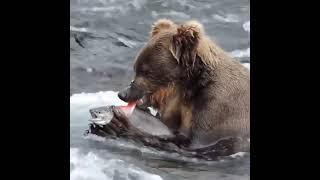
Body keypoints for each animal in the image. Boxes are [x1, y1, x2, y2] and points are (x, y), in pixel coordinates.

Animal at [102, 17, 250, 156]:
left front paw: (119, 123)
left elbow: (193, 144)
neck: (189, 87)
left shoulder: (217, 108)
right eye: (136, 68)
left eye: (146, 71)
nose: (123, 94)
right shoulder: (179, 106)